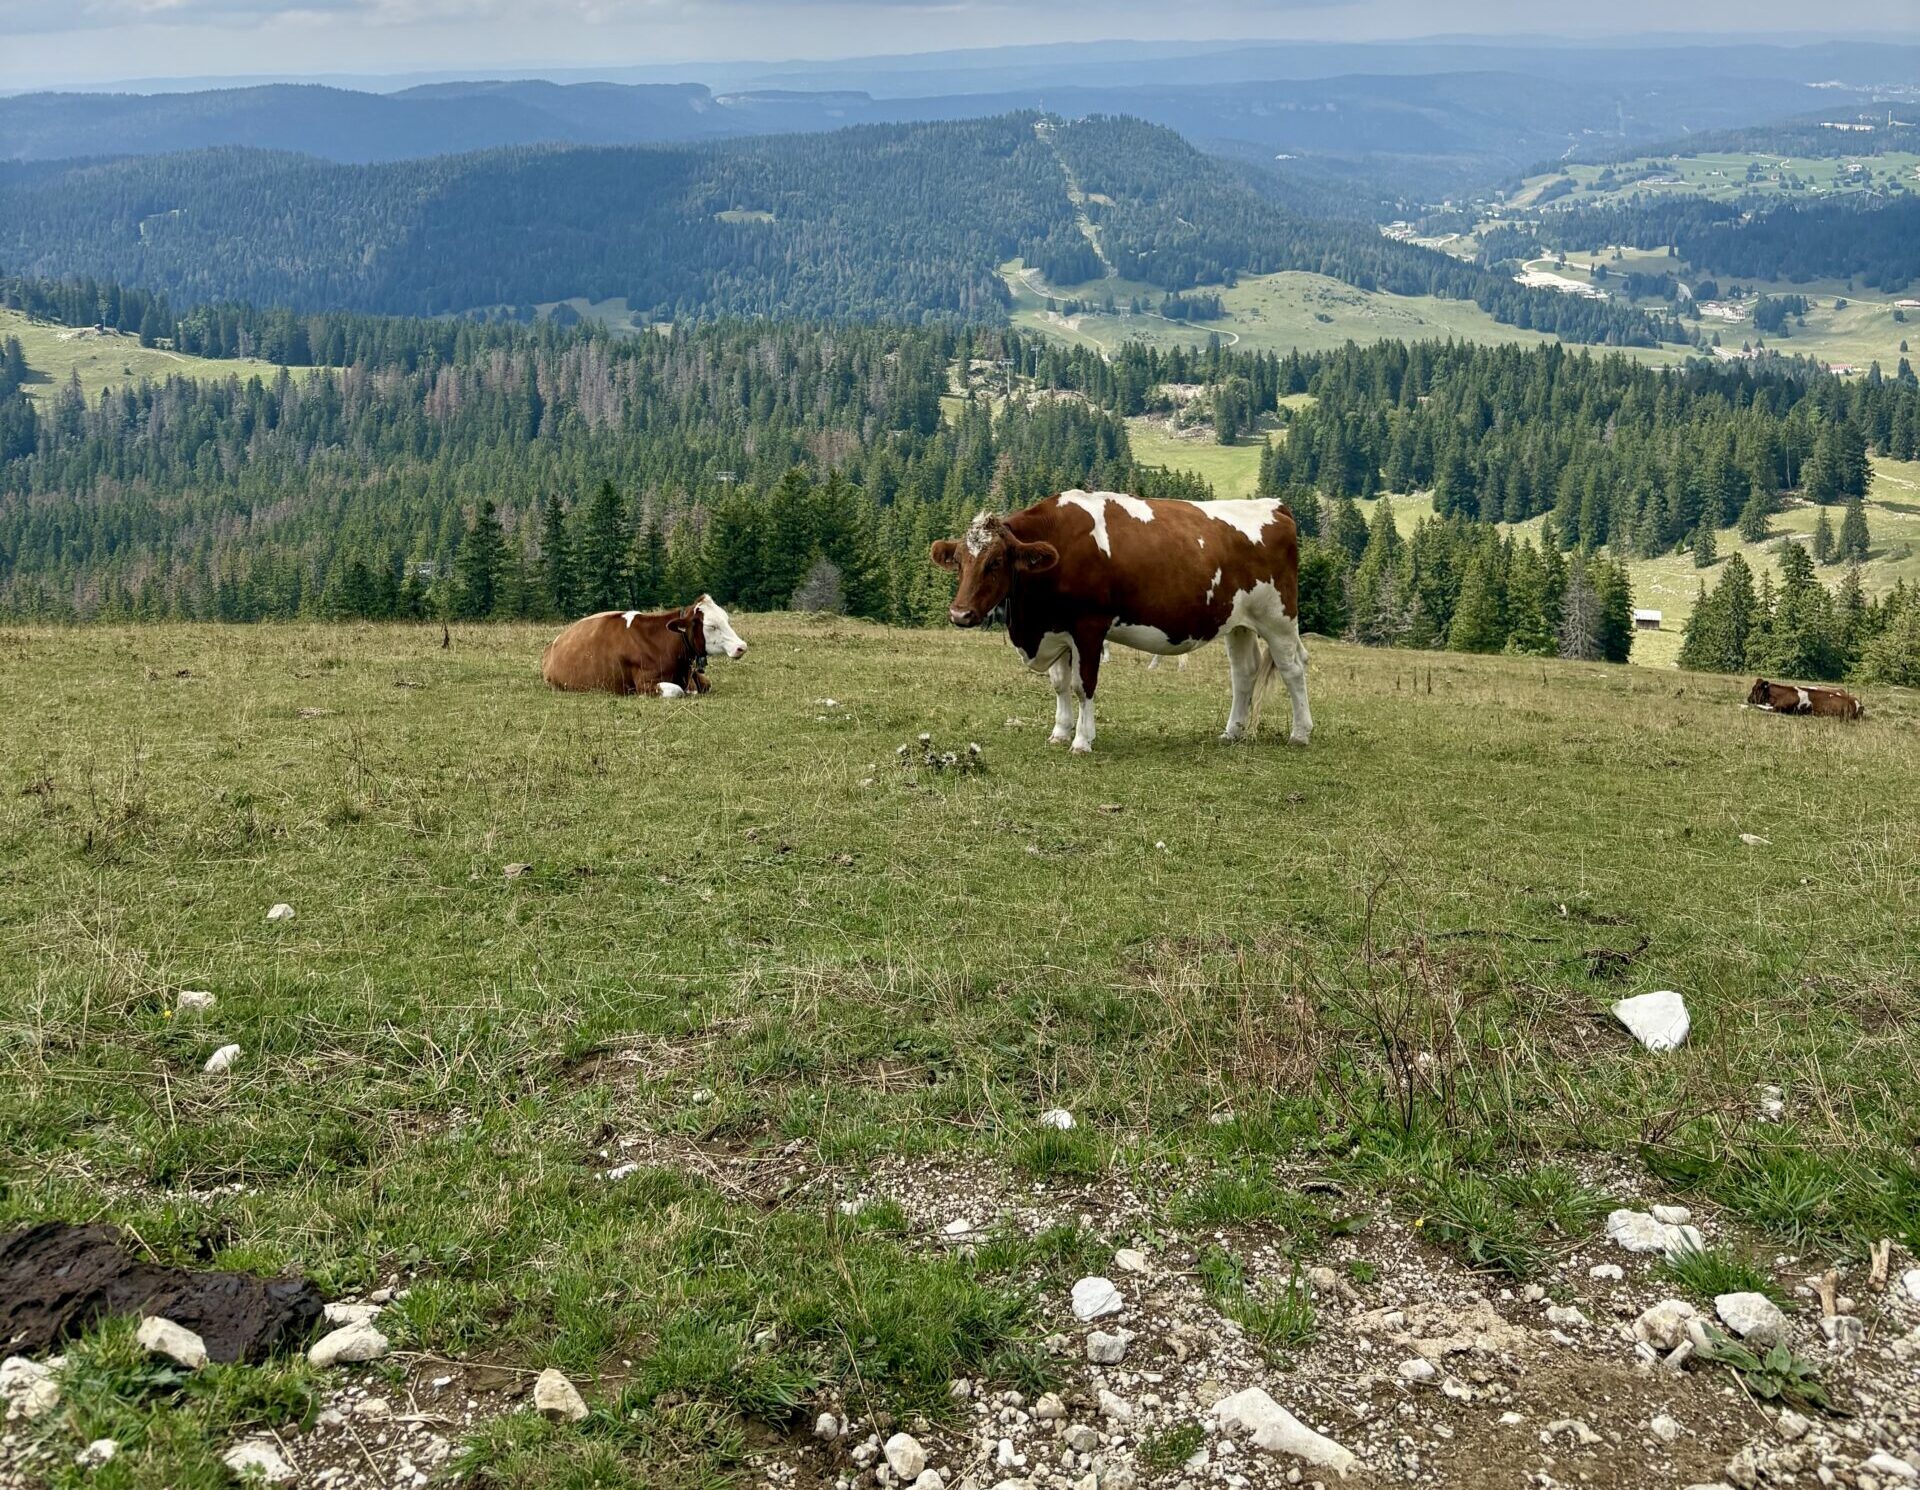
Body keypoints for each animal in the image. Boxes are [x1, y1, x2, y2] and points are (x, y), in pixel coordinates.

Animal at [541, 595, 747, 696]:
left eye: (727, 619)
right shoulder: (645, 683)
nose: (742, 646)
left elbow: (703, 684)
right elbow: (677, 690)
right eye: (711, 626)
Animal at [931, 491, 1309, 754]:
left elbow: (1083, 684)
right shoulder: (1057, 630)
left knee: (1292, 669)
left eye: (995, 562)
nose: (960, 614)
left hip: (1278, 618)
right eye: (960, 561)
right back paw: (1232, 732)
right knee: (1243, 673)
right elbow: (1060, 684)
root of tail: (1275, 506)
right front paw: (1059, 732)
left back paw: (1300, 733)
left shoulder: (1089, 627)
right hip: (1239, 623)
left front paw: (1082, 740)